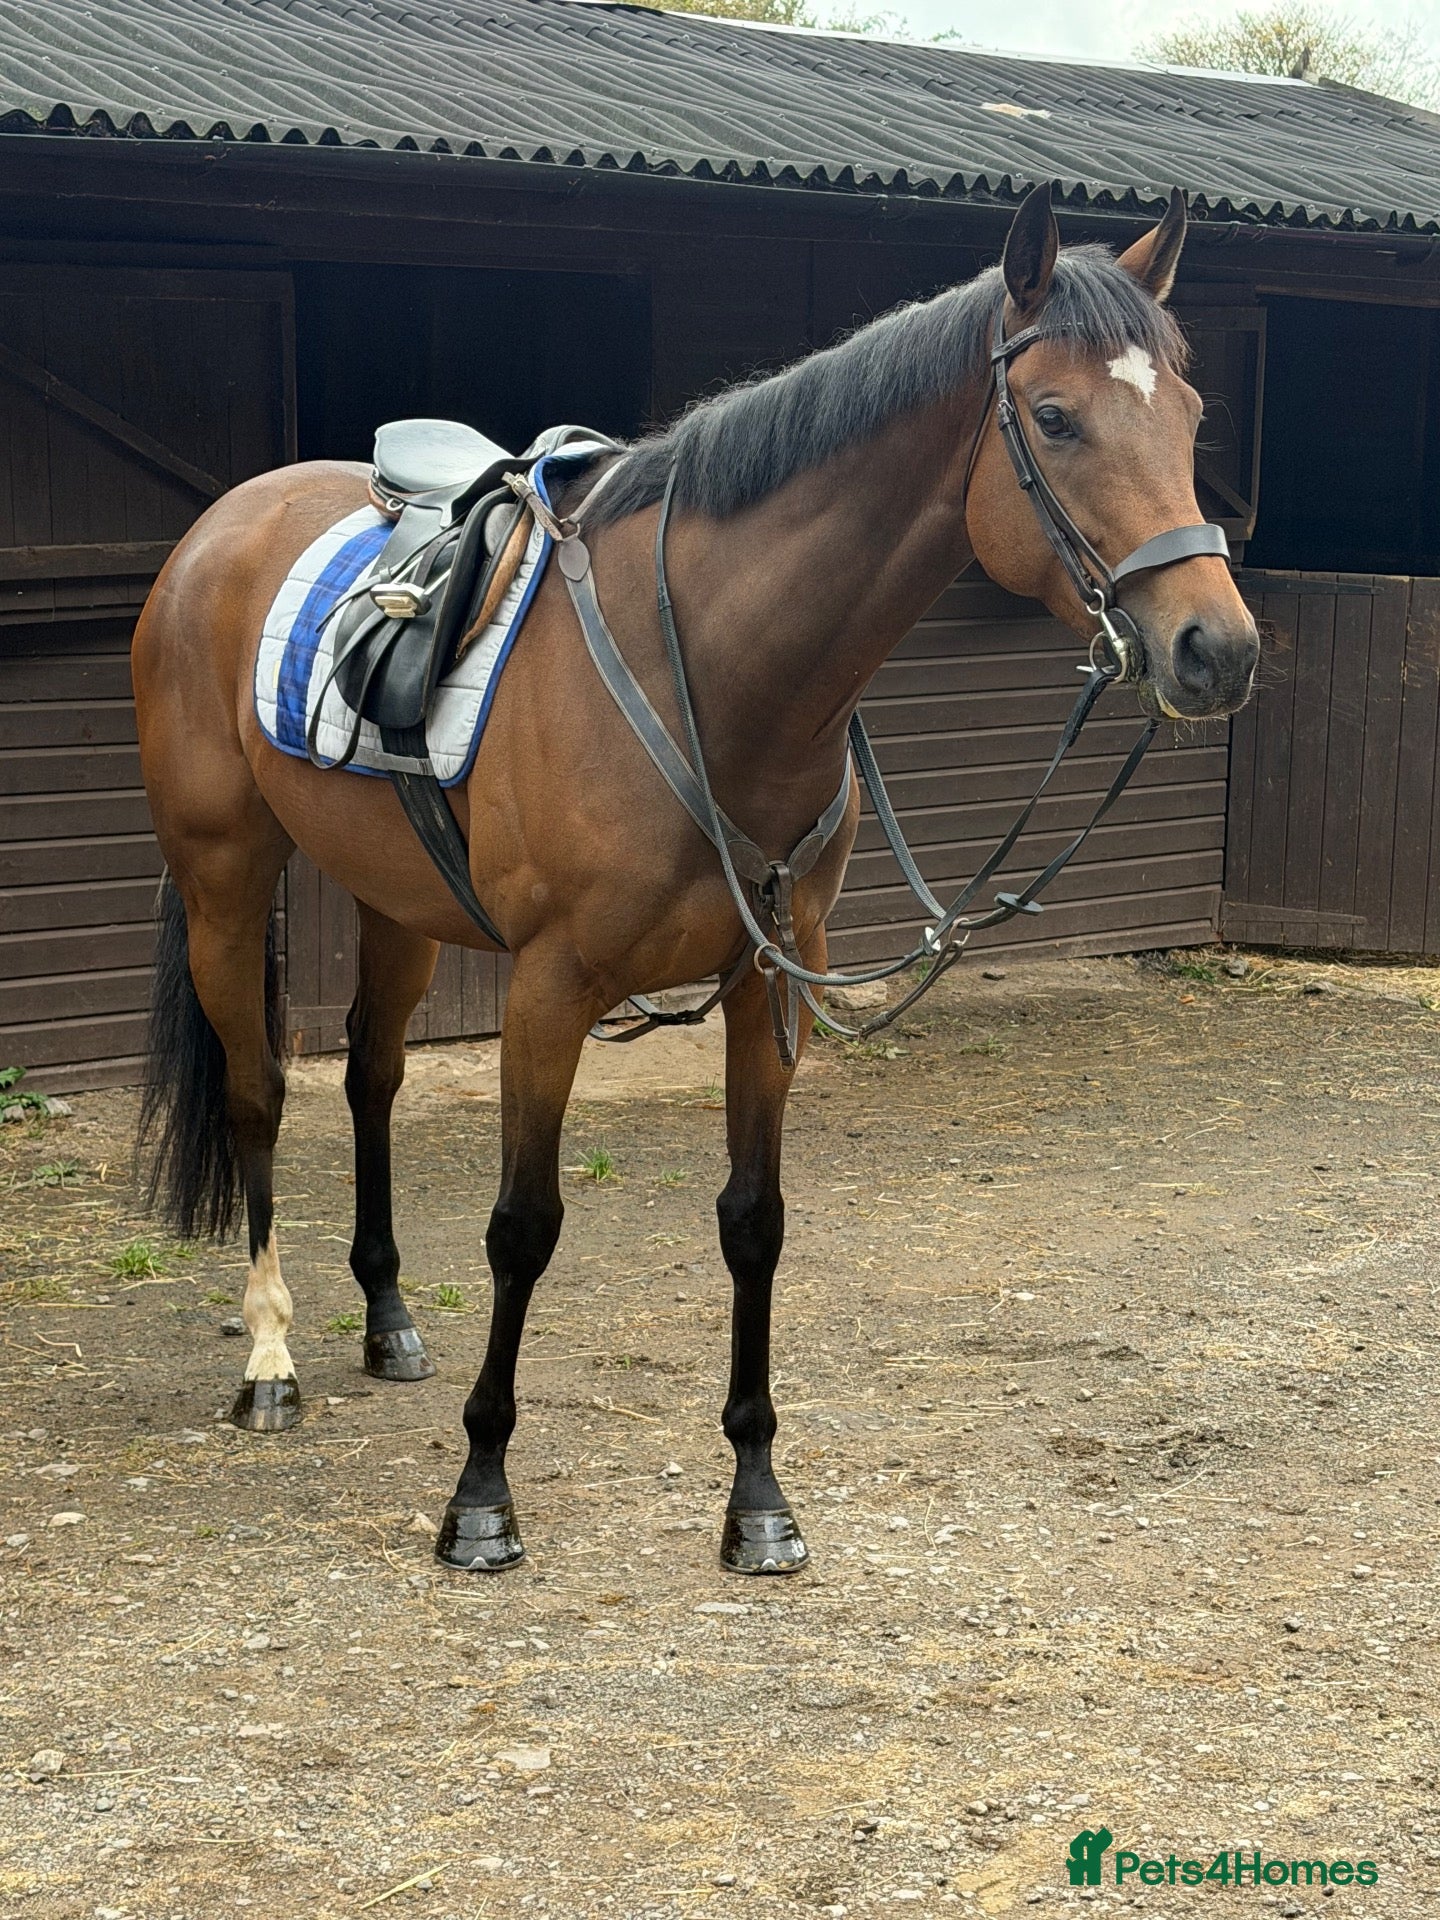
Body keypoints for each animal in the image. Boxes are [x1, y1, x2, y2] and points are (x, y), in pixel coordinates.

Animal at [132, 183, 1259, 1576]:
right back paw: (272, 1359)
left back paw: (387, 1317)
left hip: (400, 905)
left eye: (1192, 415)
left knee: (373, 1077)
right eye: (1054, 418)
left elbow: (753, 1222)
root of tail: (219, 528)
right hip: (226, 880)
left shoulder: (770, 984)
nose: (1217, 649)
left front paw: (759, 1499)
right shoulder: (551, 987)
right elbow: (523, 1228)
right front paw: (481, 1497)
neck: (716, 671)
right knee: (257, 1096)